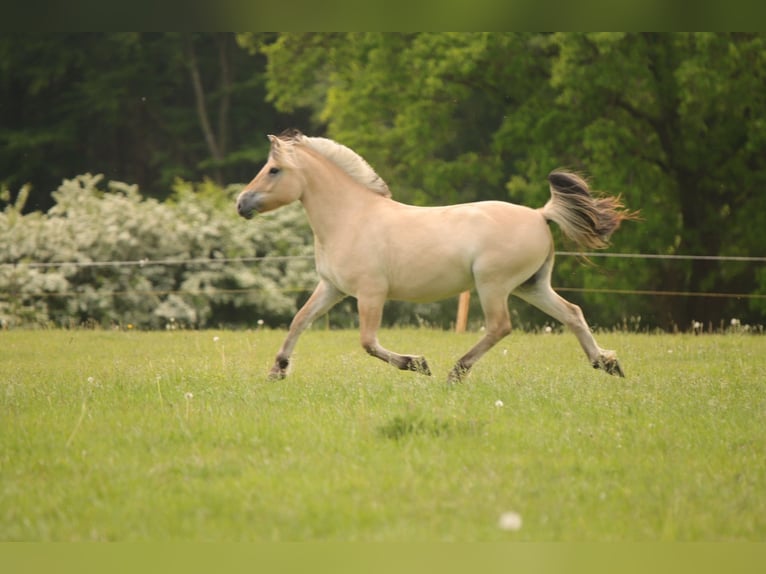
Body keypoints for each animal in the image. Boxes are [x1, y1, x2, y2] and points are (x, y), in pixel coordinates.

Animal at [236, 129, 636, 383]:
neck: (352, 217)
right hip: (532, 286)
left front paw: (417, 363)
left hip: (493, 286)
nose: (241, 204)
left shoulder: (370, 294)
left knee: (500, 326)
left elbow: (368, 342)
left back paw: (455, 372)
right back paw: (607, 364)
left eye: (274, 170)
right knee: (572, 313)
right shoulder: (332, 288)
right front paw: (277, 370)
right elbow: (299, 321)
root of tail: (540, 214)